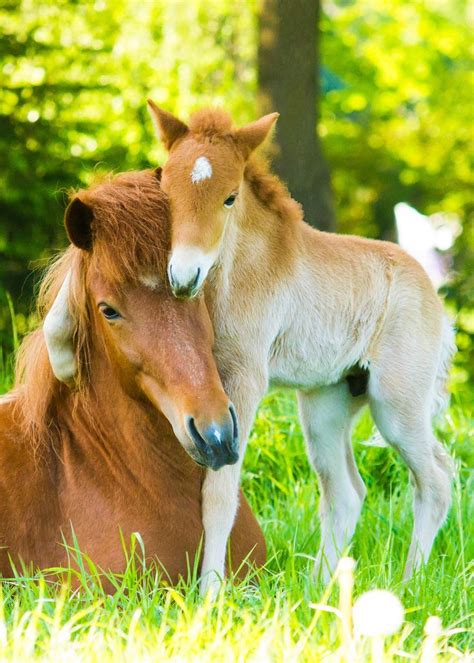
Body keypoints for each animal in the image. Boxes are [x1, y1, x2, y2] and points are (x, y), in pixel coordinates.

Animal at [147, 105, 456, 596]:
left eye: (230, 197)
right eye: (166, 190)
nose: (183, 277)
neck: (236, 272)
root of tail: (435, 297)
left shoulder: (245, 379)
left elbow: (219, 491)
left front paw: (209, 595)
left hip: (397, 404)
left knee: (436, 480)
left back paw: (408, 585)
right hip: (326, 404)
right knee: (346, 493)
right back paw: (318, 592)